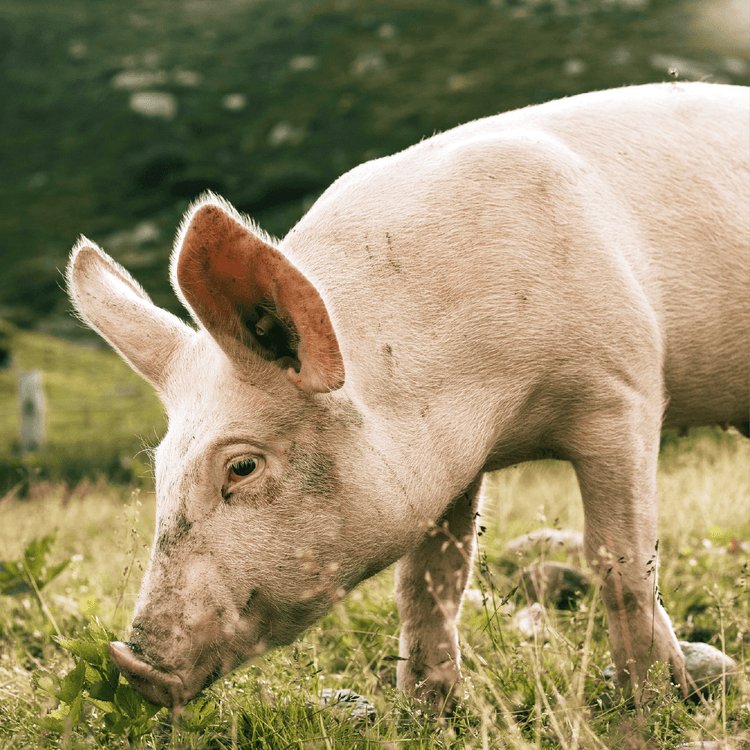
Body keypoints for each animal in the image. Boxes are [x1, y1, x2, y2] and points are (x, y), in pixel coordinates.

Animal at [67, 81, 749, 714]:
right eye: (158, 468)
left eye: (242, 465)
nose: (135, 665)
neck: (501, 414)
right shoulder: (446, 467)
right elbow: (428, 582)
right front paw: (428, 710)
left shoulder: (622, 390)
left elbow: (621, 561)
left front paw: (654, 701)